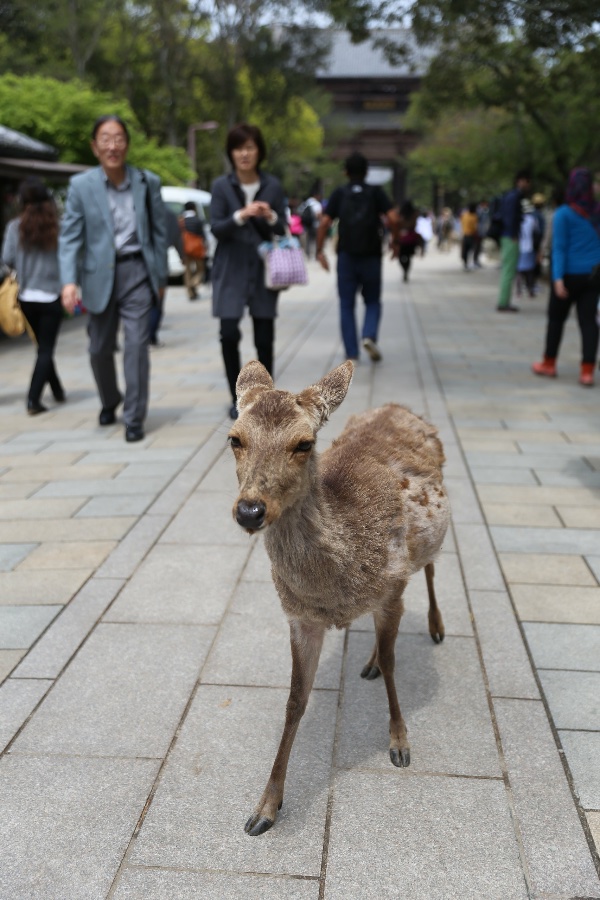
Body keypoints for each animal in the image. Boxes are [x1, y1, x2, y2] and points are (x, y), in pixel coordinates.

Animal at [228, 359, 450, 836]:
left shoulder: (391, 589)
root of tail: (397, 405)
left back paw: (436, 626)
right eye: (235, 438)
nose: (250, 510)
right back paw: (368, 661)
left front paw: (399, 741)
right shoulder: (299, 617)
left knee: (431, 568)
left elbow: (394, 664)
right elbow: (295, 700)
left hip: (427, 545)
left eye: (304, 443)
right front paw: (265, 808)